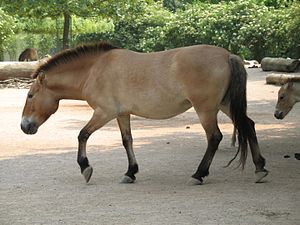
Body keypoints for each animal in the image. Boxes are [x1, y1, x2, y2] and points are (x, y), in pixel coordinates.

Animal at [21, 42, 270, 185]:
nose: (25, 126)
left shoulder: (104, 113)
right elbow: (127, 141)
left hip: (206, 109)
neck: (94, 70)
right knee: (248, 125)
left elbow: (82, 135)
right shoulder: (122, 114)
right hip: (225, 105)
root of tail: (228, 56)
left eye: (30, 95)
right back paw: (259, 168)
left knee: (214, 137)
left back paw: (198, 174)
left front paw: (86, 168)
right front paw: (130, 172)